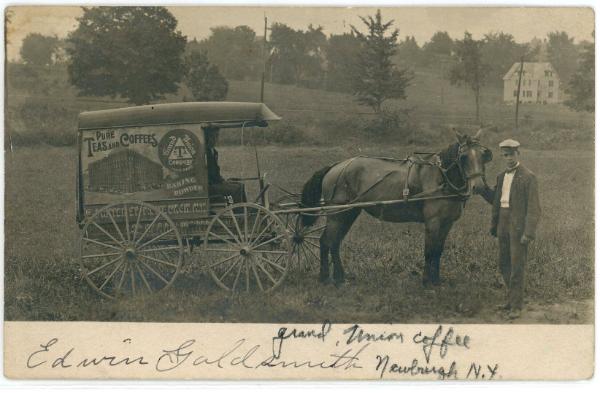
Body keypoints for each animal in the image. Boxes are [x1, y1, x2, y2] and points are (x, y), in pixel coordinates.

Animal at [300, 130, 492, 286]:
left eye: (484, 155)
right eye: (463, 157)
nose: (479, 187)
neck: (441, 178)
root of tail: (335, 166)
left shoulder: (447, 223)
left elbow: (438, 251)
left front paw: (436, 280)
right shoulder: (433, 221)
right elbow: (429, 251)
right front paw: (426, 281)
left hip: (348, 212)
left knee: (334, 242)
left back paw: (339, 277)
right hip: (336, 214)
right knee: (326, 241)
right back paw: (325, 277)